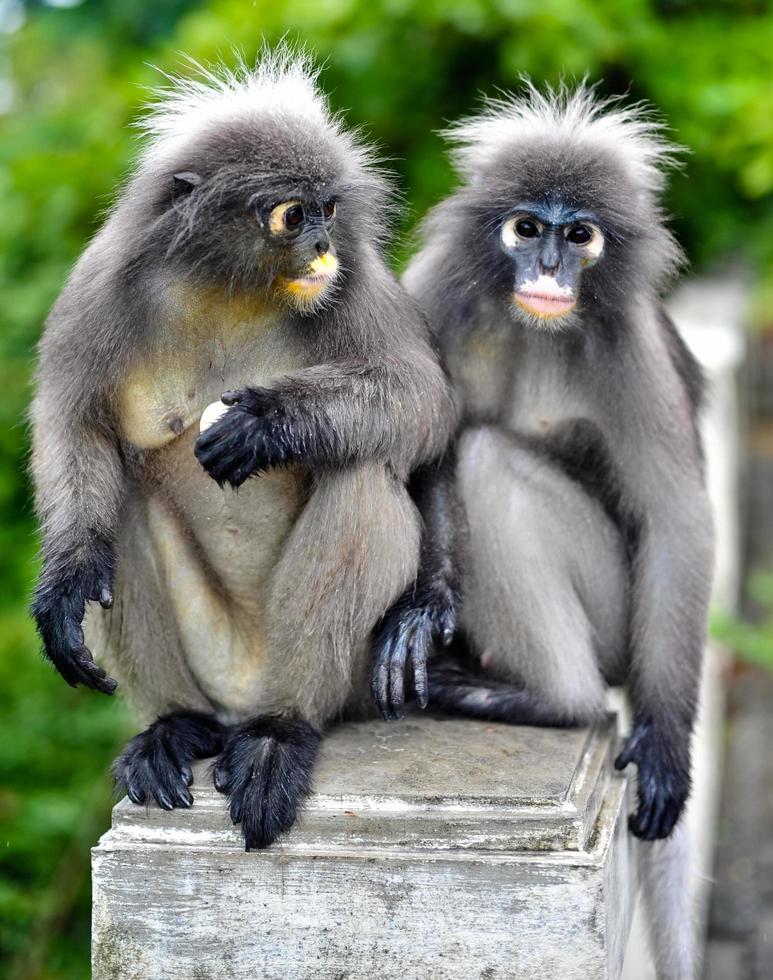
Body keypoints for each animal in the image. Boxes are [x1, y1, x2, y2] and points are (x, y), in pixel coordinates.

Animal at [28, 53, 452, 848]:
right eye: (292, 215)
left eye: (329, 211)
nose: (321, 247)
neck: (231, 288)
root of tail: (243, 696)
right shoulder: (99, 286)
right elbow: (77, 426)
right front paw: (67, 578)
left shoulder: (354, 280)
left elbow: (425, 400)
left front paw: (268, 420)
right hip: (212, 660)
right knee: (119, 510)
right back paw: (173, 728)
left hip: (335, 675)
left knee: (361, 473)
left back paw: (279, 733)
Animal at [374, 88, 712, 976]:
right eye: (526, 228)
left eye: (579, 234)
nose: (551, 270)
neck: (533, 325)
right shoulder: (436, 295)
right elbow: (423, 444)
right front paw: (425, 608)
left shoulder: (629, 341)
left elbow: (676, 516)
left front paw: (666, 743)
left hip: (617, 616)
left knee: (491, 461)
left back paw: (550, 700)